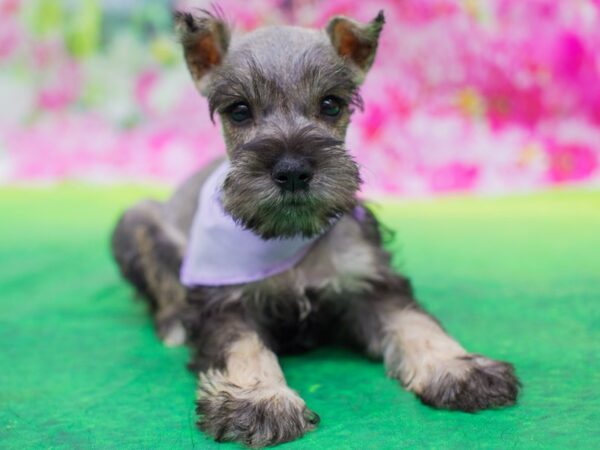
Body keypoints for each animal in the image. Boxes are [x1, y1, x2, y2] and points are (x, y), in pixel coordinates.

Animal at [111, 9, 520, 446]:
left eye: (331, 104)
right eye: (238, 110)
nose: (292, 171)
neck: (288, 237)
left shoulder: (371, 281)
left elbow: (415, 322)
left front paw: (459, 366)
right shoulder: (223, 303)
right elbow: (242, 346)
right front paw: (261, 398)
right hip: (136, 222)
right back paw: (174, 324)